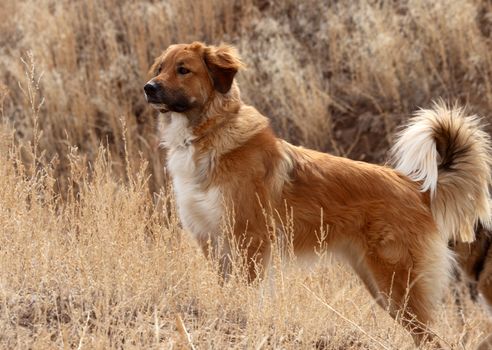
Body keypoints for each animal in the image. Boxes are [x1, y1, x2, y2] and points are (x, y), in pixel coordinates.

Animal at [144, 42, 490, 346]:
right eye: (160, 68)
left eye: (183, 70)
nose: (148, 88)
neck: (210, 133)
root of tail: (416, 189)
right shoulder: (214, 243)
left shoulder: (249, 240)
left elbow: (244, 296)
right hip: (380, 285)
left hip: (396, 283)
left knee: (431, 337)